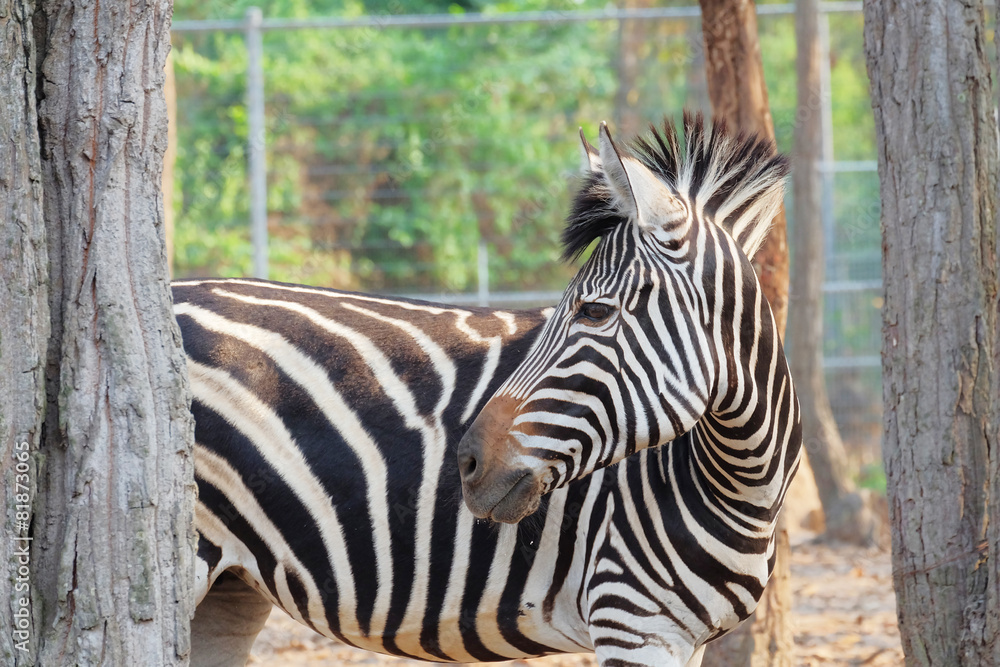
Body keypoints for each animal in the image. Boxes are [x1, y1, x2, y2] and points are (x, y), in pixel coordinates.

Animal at [176, 113, 800, 667]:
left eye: (595, 312)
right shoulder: (631, 619)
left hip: (232, 585)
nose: (468, 464)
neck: (740, 484)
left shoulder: (685, 637)